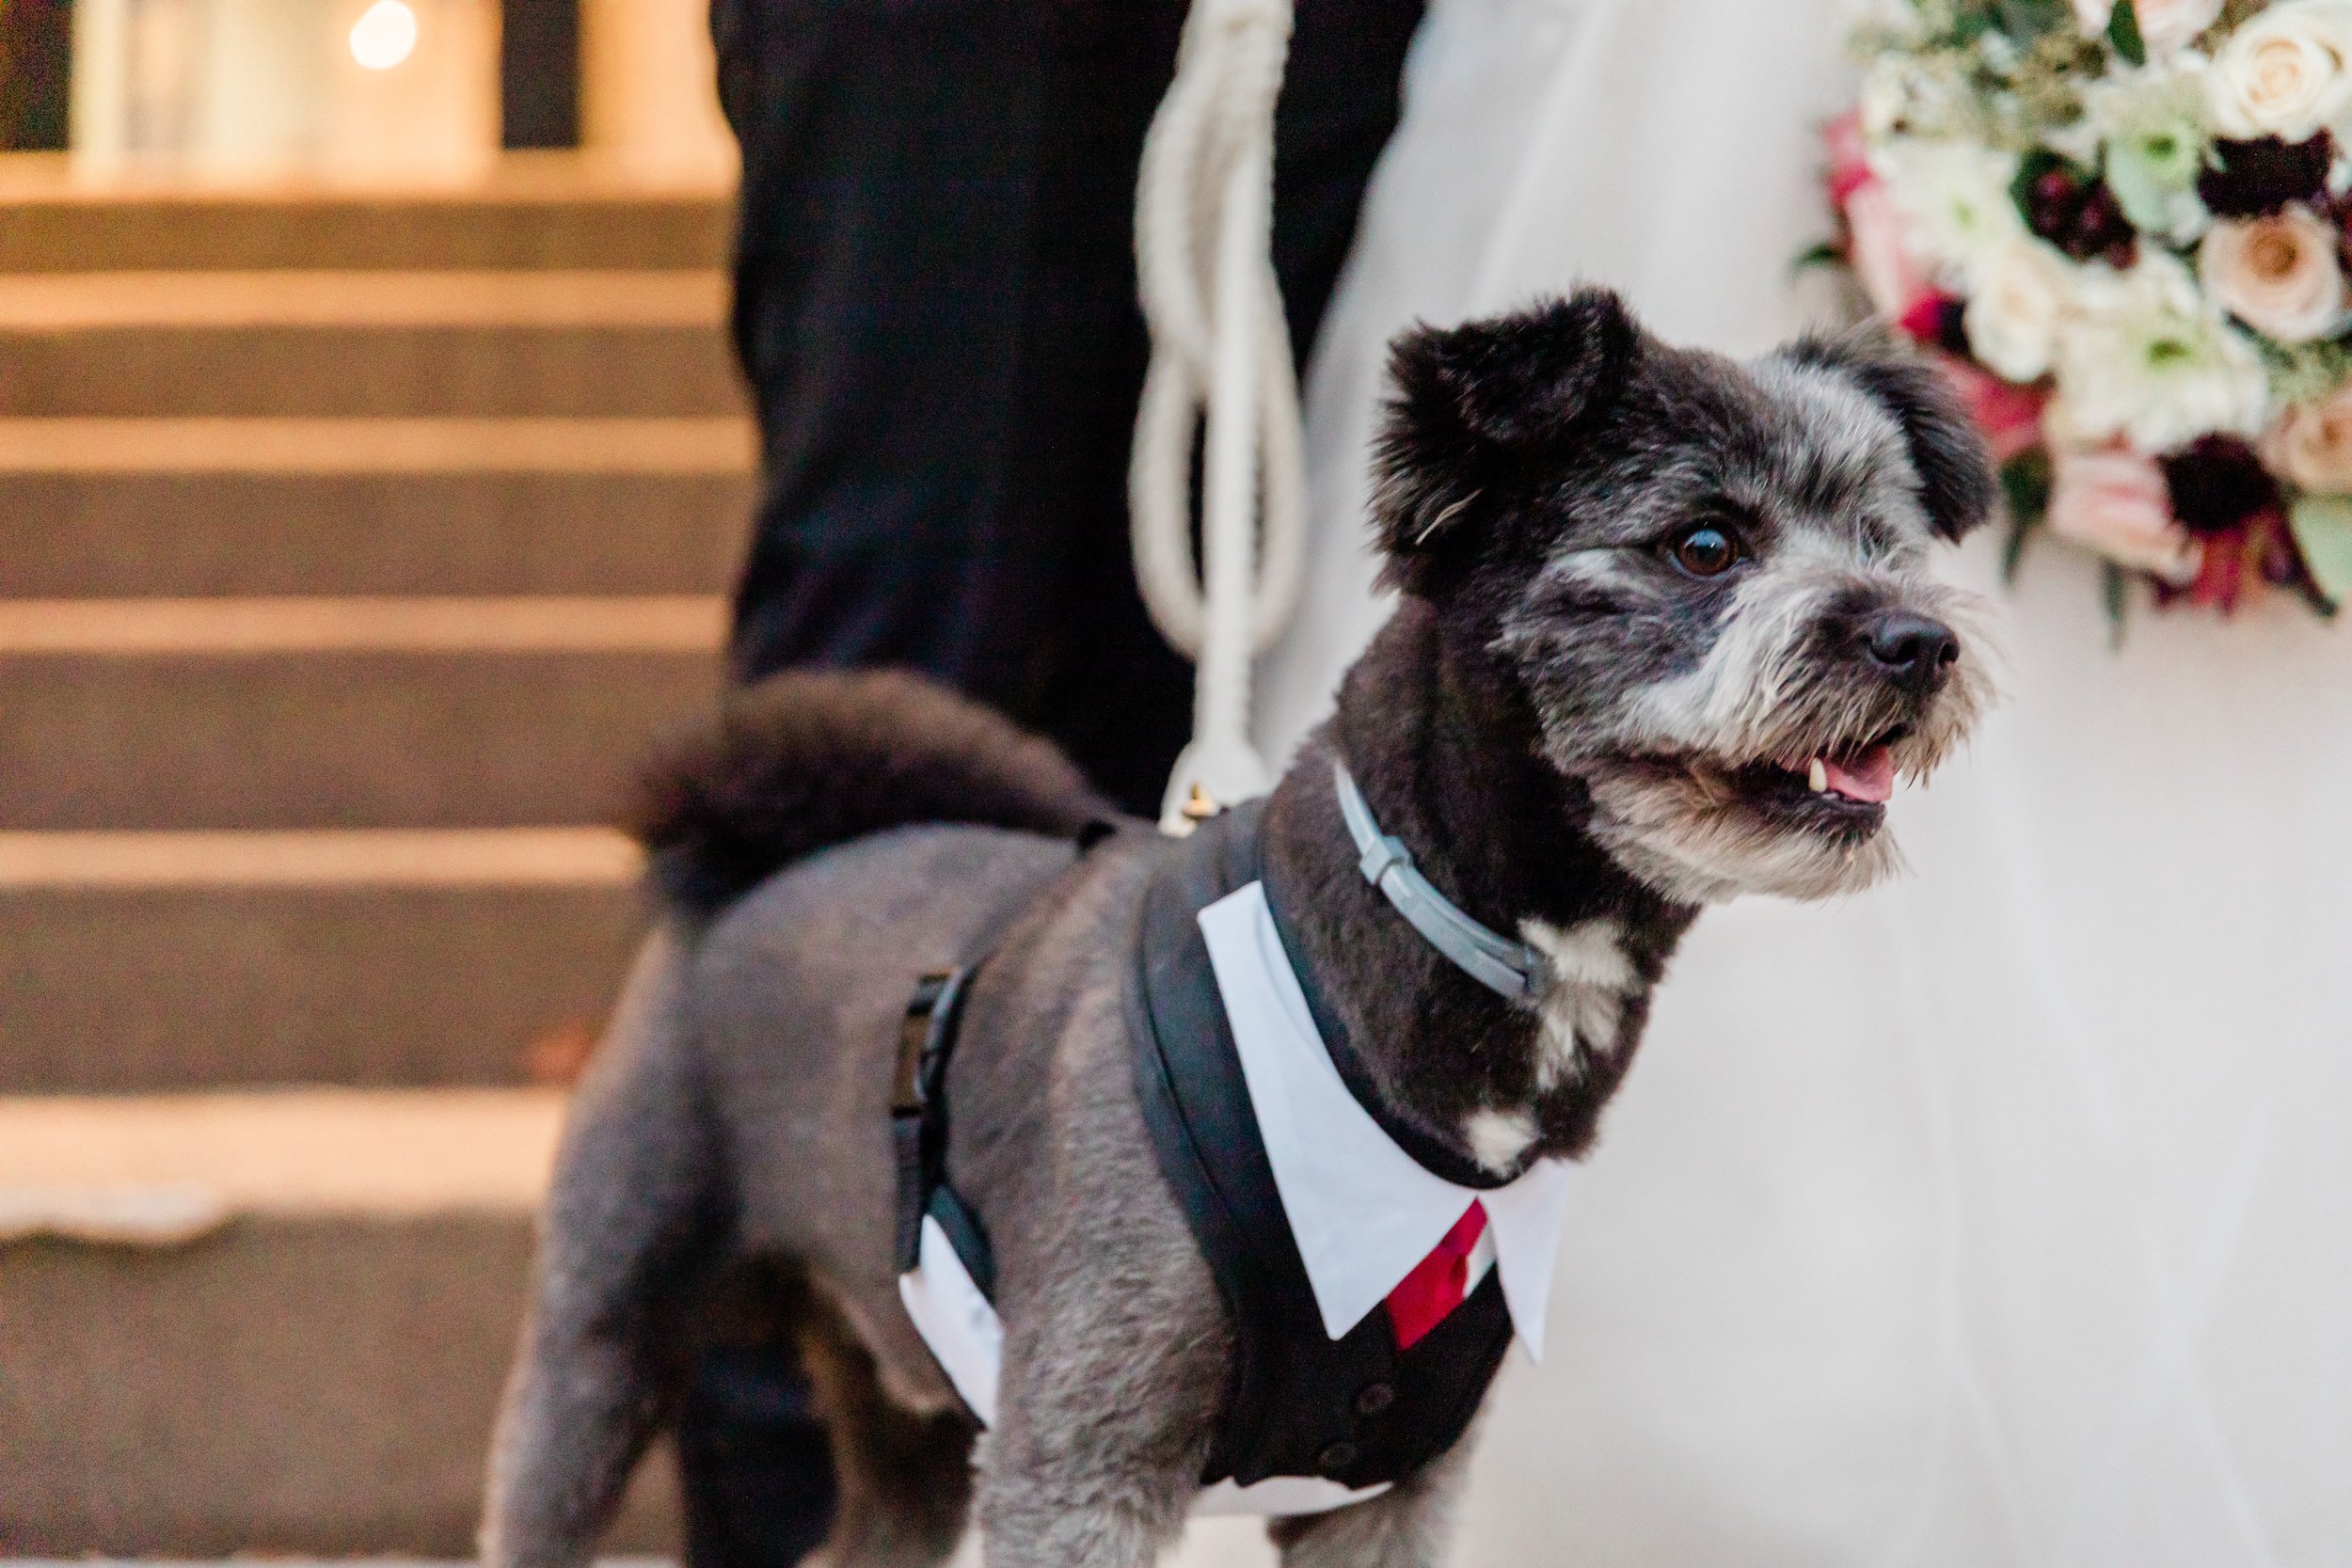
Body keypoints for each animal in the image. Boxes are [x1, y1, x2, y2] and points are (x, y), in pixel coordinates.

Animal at [486, 285, 1994, 1568]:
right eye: (1703, 543)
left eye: (1886, 540)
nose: (1918, 641)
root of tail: (753, 860)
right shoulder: (1081, 1466)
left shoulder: (1389, 1495)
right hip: (601, 1344)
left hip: (899, 1412)